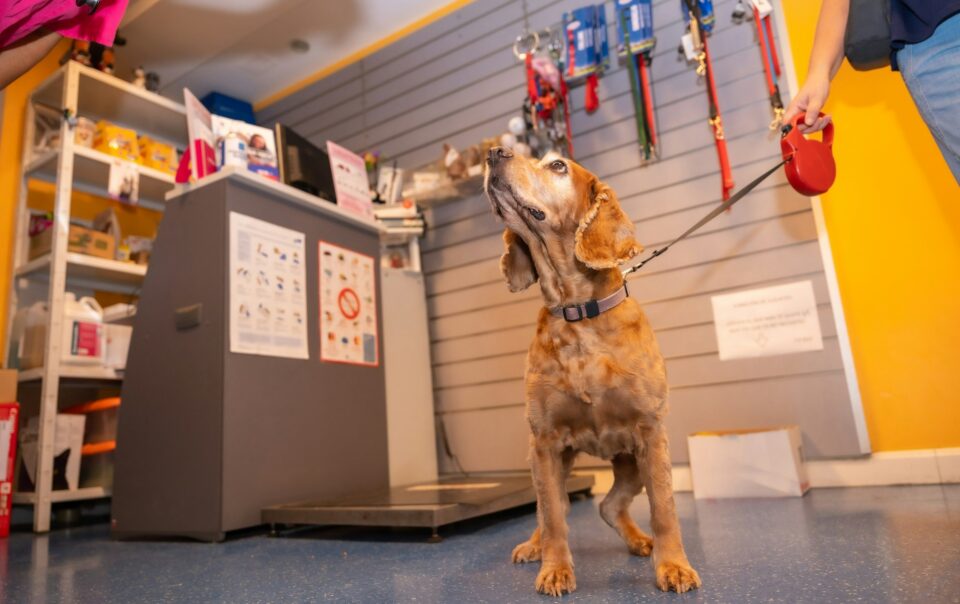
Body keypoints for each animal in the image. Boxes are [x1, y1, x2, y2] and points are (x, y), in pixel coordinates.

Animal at [484, 147, 700, 600]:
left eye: (557, 165)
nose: (493, 152)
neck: (578, 313)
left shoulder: (651, 434)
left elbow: (665, 509)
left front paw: (673, 566)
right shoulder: (546, 442)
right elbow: (552, 516)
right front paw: (554, 570)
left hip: (630, 463)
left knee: (608, 504)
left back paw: (641, 541)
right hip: (551, 462)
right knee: (554, 508)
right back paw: (534, 546)